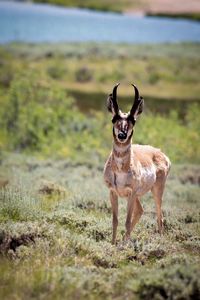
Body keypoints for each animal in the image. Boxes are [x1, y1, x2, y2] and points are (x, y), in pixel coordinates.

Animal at [103, 83, 170, 245]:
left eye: (133, 120)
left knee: (160, 216)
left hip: (156, 191)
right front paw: (113, 243)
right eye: (114, 119)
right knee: (141, 211)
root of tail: (159, 153)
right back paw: (124, 239)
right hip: (137, 196)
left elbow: (126, 221)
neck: (120, 169)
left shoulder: (131, 193)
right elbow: (115, 221)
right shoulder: (113, 192)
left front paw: (124, 246)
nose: (122, 135)